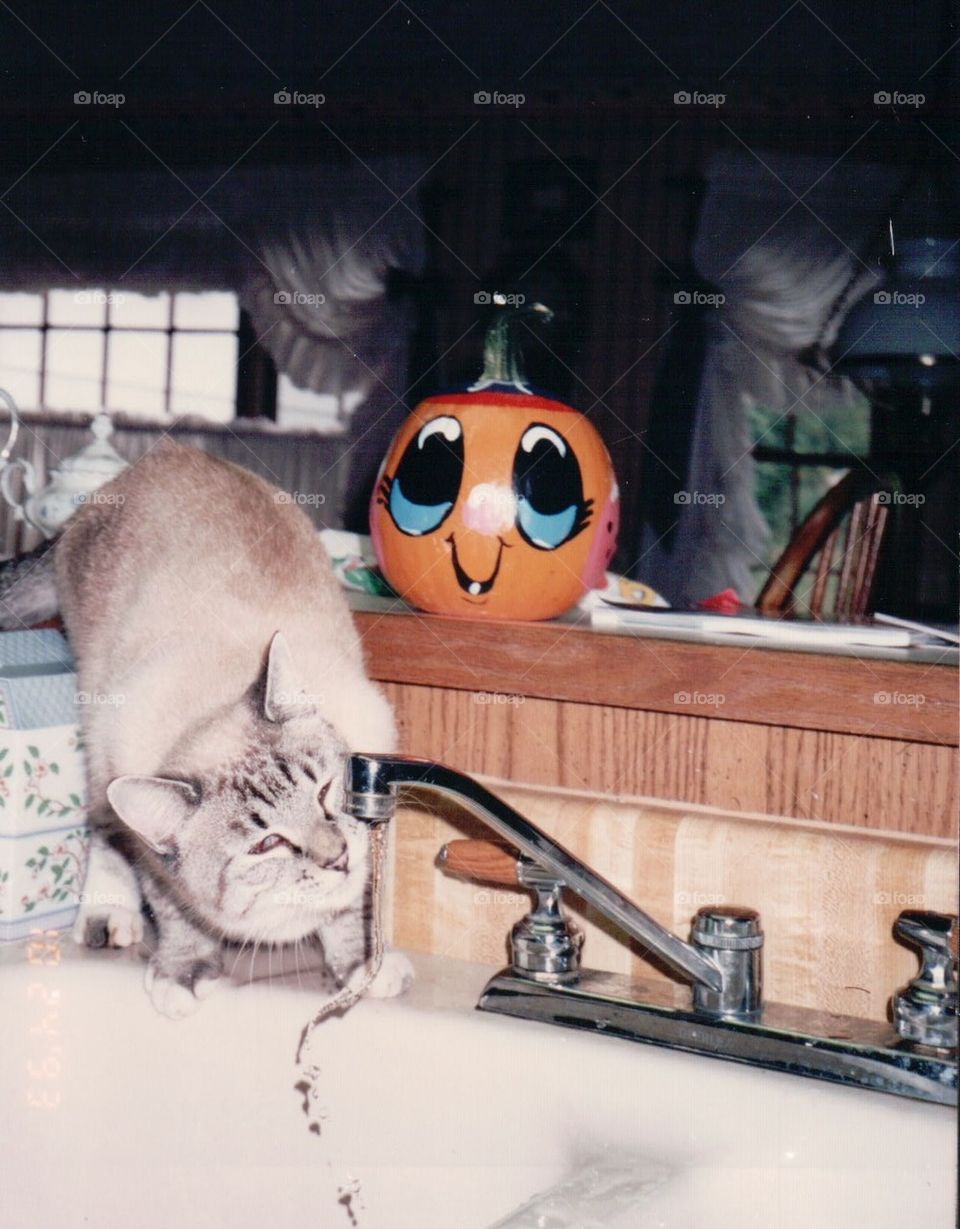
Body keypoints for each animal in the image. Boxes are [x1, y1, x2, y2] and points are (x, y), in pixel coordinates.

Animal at [0, 442, 408, 1017]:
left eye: (326, 792)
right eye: (266, 844)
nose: (337, 856)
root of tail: (159, 457)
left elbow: (350, 907)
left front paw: (361, 968)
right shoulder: (151, 851)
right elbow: (174, 909)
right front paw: (185, 971)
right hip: (97, 727)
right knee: (102, 827)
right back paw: (106, 917)